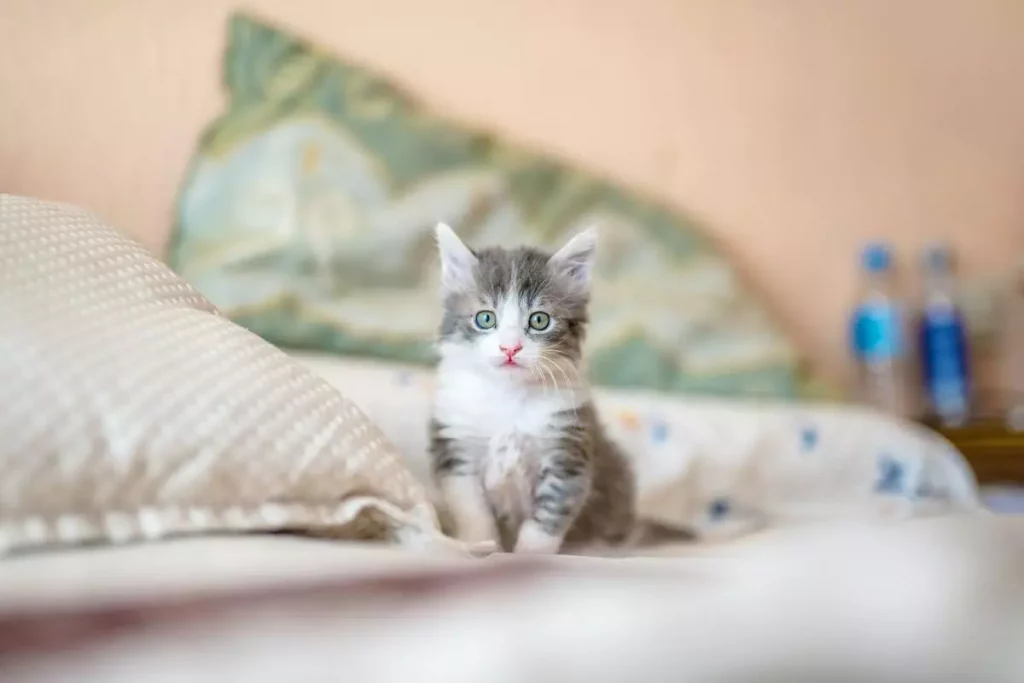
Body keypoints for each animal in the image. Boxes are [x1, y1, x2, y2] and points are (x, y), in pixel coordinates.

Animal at [425, 224, 634, 557]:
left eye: (539, 320)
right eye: (485, 318)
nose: (510, 348)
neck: (507, 398)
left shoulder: (567, 452)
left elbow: (548, 516)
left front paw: (528, 555)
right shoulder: (456, 451)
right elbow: (472, 511)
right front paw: (481, 546)